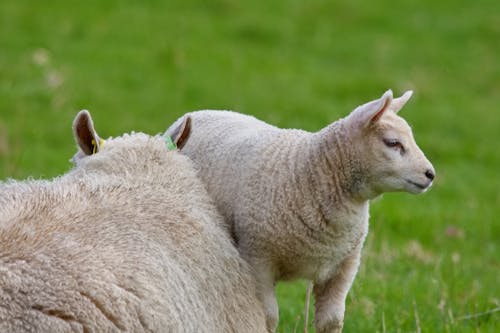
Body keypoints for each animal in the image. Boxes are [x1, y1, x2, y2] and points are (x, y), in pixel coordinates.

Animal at [167, 89, 434, 330]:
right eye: (392, 143)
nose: (430, 174)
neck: (307, 170)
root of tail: (200, 112)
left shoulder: (345, 265)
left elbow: (331, 321)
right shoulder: (258, 258)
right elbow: (268, 317)